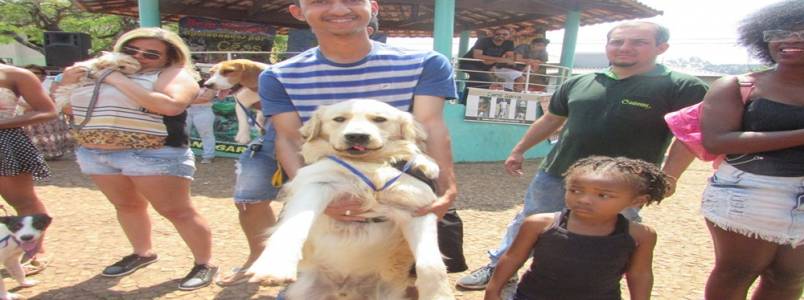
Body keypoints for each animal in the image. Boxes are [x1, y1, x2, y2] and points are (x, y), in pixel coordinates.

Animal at [248, 99, 456, 298]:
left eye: (379, 119)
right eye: (339, 119)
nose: (357, 136)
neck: (366, 165)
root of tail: (345, 289)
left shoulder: (418, 208)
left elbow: (431, 264)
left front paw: (439, 295)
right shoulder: (316, 185)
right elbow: (294, 225)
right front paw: (274, 266)